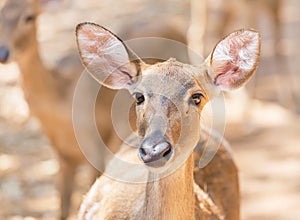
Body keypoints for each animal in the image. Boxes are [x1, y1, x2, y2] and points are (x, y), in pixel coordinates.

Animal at [0, 0, 123, 219]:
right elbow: (63, 208)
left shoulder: (95, 148)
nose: (3, 53)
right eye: (1, 13)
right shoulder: (62, 156)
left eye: (29, 16)